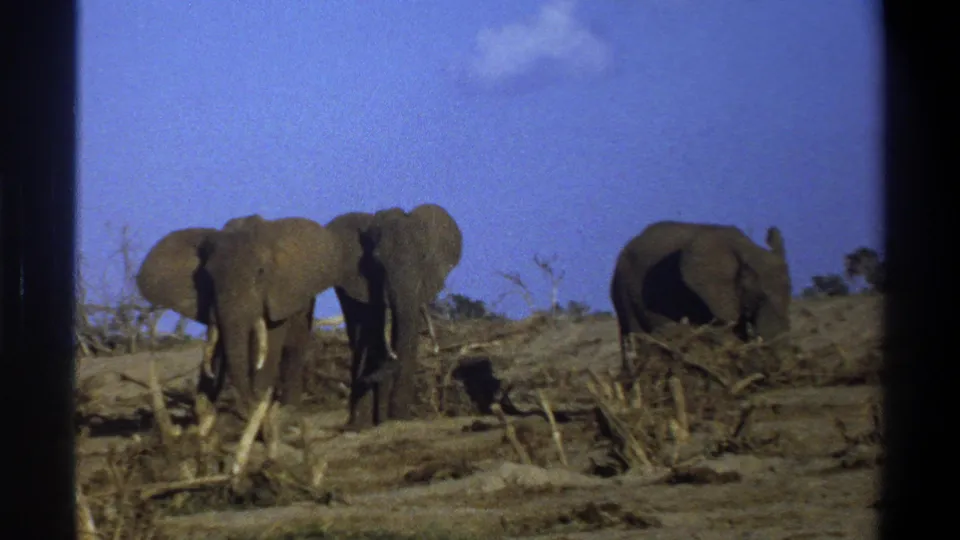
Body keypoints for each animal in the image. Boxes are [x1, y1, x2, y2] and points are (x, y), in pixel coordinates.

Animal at [135, 214, 341, 457]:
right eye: (207, 277)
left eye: (260, 272)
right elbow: (218, 347)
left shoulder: (277, 297)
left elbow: (270, 346)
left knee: (294, 350)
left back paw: (288, 412)